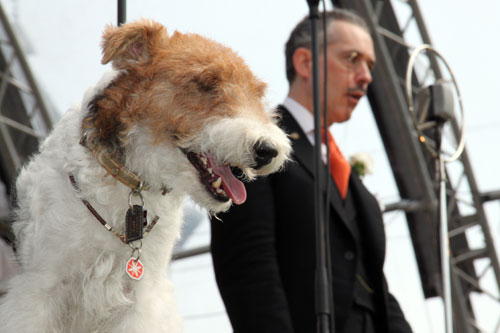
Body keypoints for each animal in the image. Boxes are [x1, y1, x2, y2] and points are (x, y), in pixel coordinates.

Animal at [0, 19, 292, 330]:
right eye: (206, 83)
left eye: (257, 93)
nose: (268, 150)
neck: (131, 183)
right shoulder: (40, 289)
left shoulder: (140, 301)